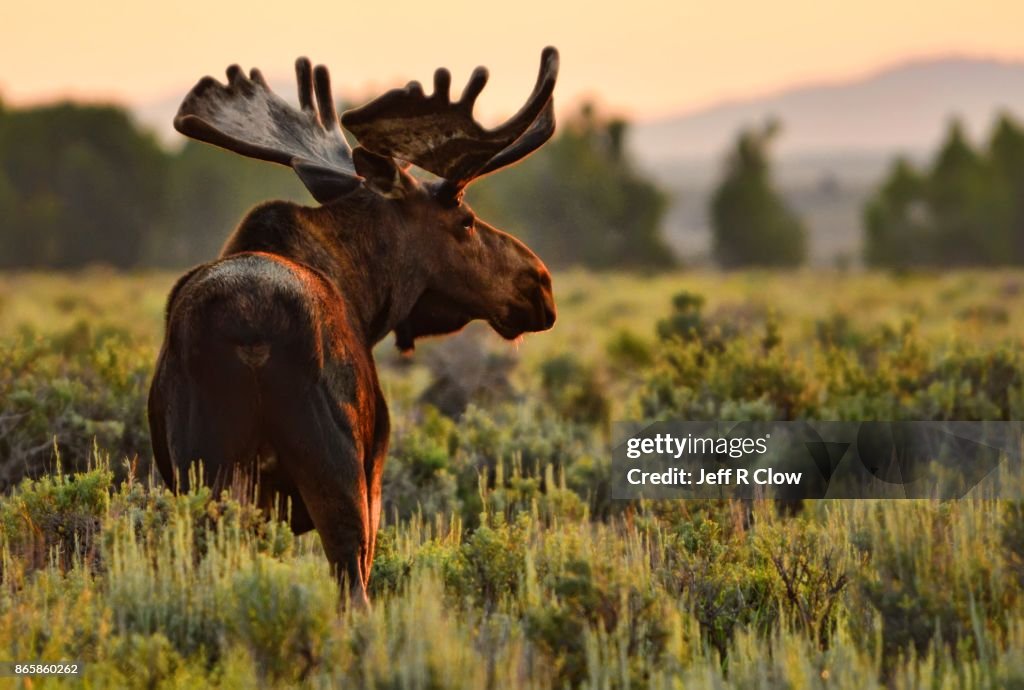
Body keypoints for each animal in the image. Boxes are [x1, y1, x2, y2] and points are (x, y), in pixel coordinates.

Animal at [149, 49, 561, 601]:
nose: (539, 284)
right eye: (466, 220)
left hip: (202, 472)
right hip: (338, 471)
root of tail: (250, 337)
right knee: (354, 586)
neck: (367, 298)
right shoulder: (376, 469)